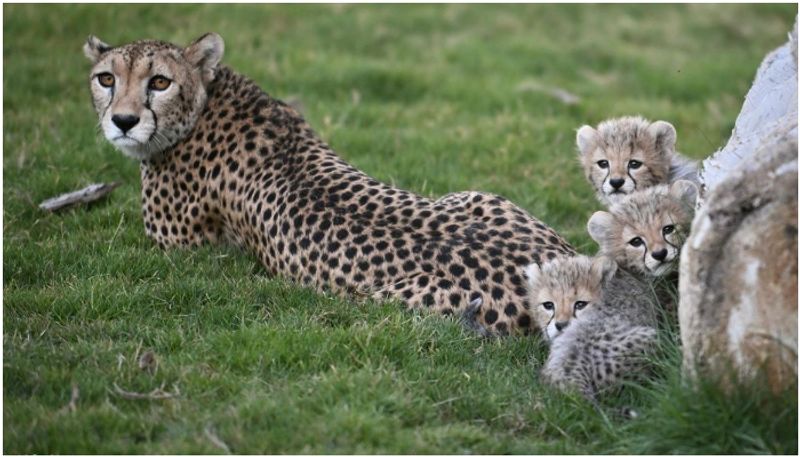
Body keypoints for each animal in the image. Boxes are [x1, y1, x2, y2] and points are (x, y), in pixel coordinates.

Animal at [83, 31, 576, 332]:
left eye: (159, 82)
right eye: (106, 78)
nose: (123, 121)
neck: (207, 101)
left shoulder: (181, 250)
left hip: (385, 302)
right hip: (481, 196)